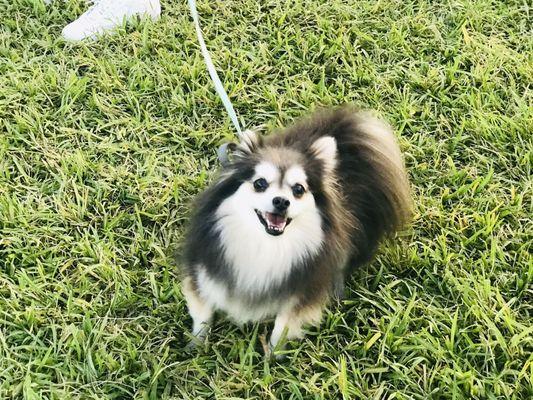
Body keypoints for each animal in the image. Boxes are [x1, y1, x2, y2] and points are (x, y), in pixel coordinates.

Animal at [181, 105, 410, 356]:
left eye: (298, 189)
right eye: (260, 183)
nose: (281, 201)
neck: (266, 245)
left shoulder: (303, 291)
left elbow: (282, 326)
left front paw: (272, 356)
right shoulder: (203, 272)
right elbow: (202, 311)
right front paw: (197, 344)